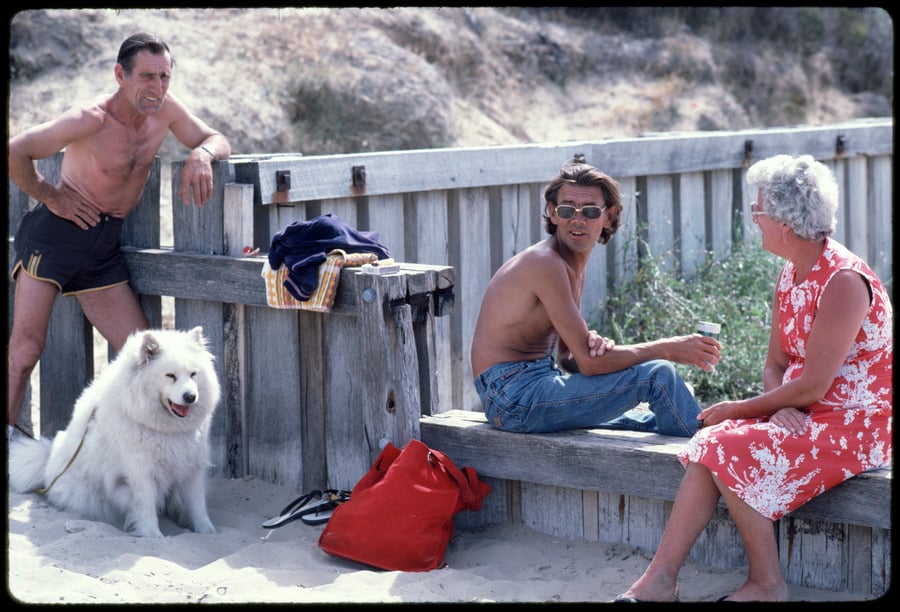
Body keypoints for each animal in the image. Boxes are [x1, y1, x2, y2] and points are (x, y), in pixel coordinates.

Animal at [10, 326, 223, 536]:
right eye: (170, 375)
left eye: (193, 374)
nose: (190, 396)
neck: (165, 429)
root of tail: (47, 465)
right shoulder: (140, 472)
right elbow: (146, 507)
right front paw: (153, 537)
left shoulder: (192, 468)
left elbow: (197, 506)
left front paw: (208, 531)